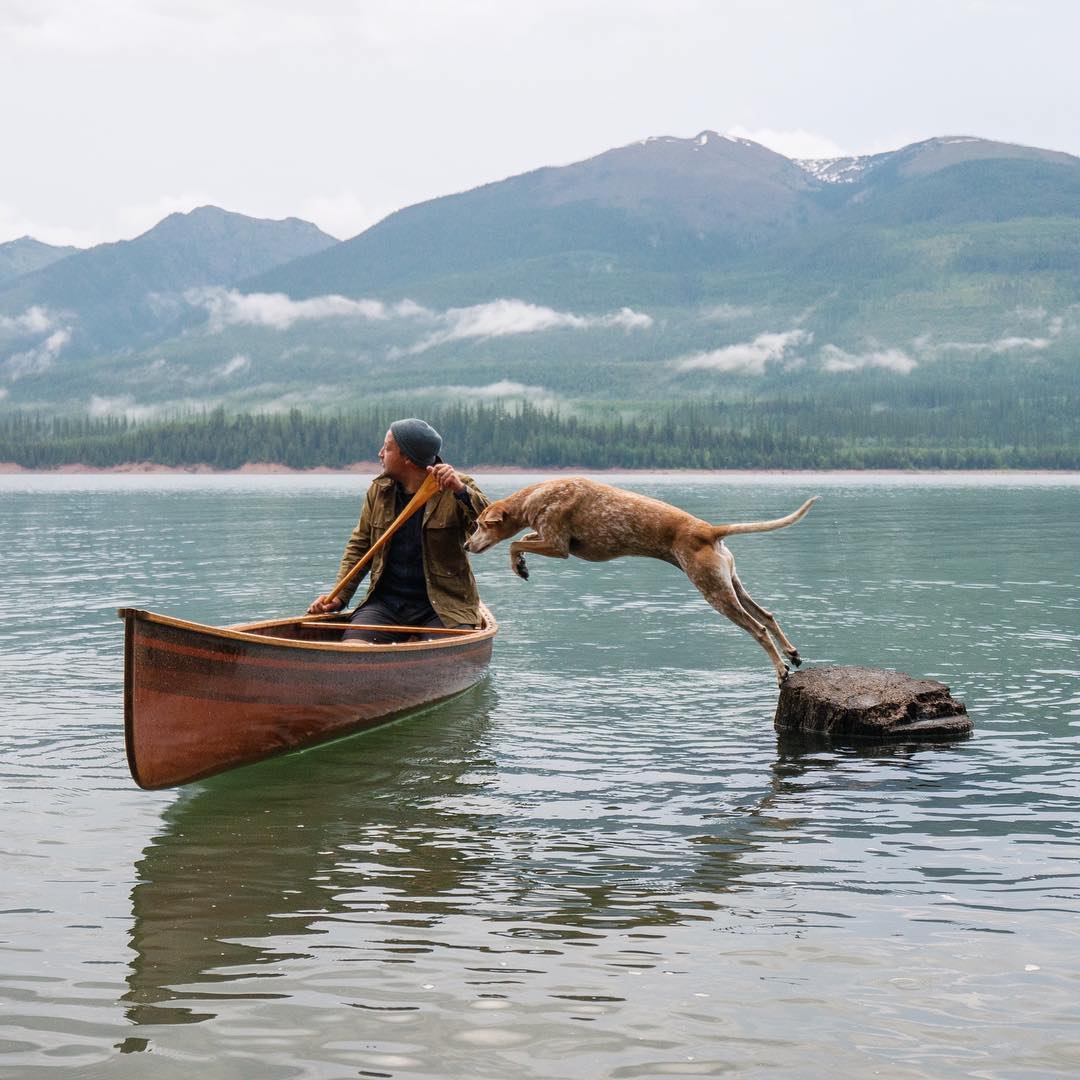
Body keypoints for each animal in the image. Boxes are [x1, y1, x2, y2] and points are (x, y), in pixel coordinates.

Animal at [466, 479, 816, 682]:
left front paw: (518, 564)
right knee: (767, 616)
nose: (467, 545)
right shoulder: (550, 540)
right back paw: (792, 653)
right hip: (731, 585)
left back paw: (780, 670)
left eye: (481, 525)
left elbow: (515, 542)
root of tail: (709, 530)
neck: (538, 496)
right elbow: (523, 539)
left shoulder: (559, 546)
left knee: (758, 629)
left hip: (714, 592)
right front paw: (521, 564)